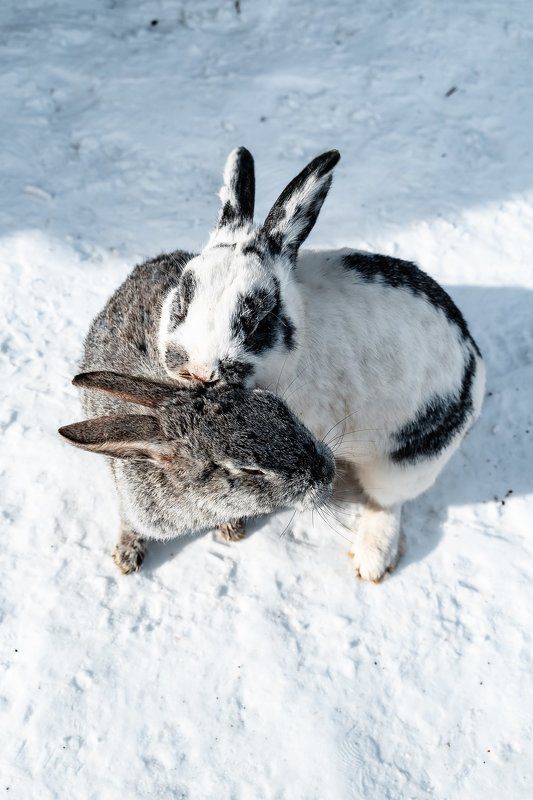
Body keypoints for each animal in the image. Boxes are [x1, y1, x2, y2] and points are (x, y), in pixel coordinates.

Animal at [59, 253, 335, 574]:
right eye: (249, 470)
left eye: (277, 406)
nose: (327, 471)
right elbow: (130, 523)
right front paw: (127, 557)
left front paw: (231, 529)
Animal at [157, 147, 486, 582]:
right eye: (182, 296)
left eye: (259, 319)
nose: (198, 371)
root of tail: (475, 364)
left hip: (406, 460)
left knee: (388, 502)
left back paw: (371, 560)